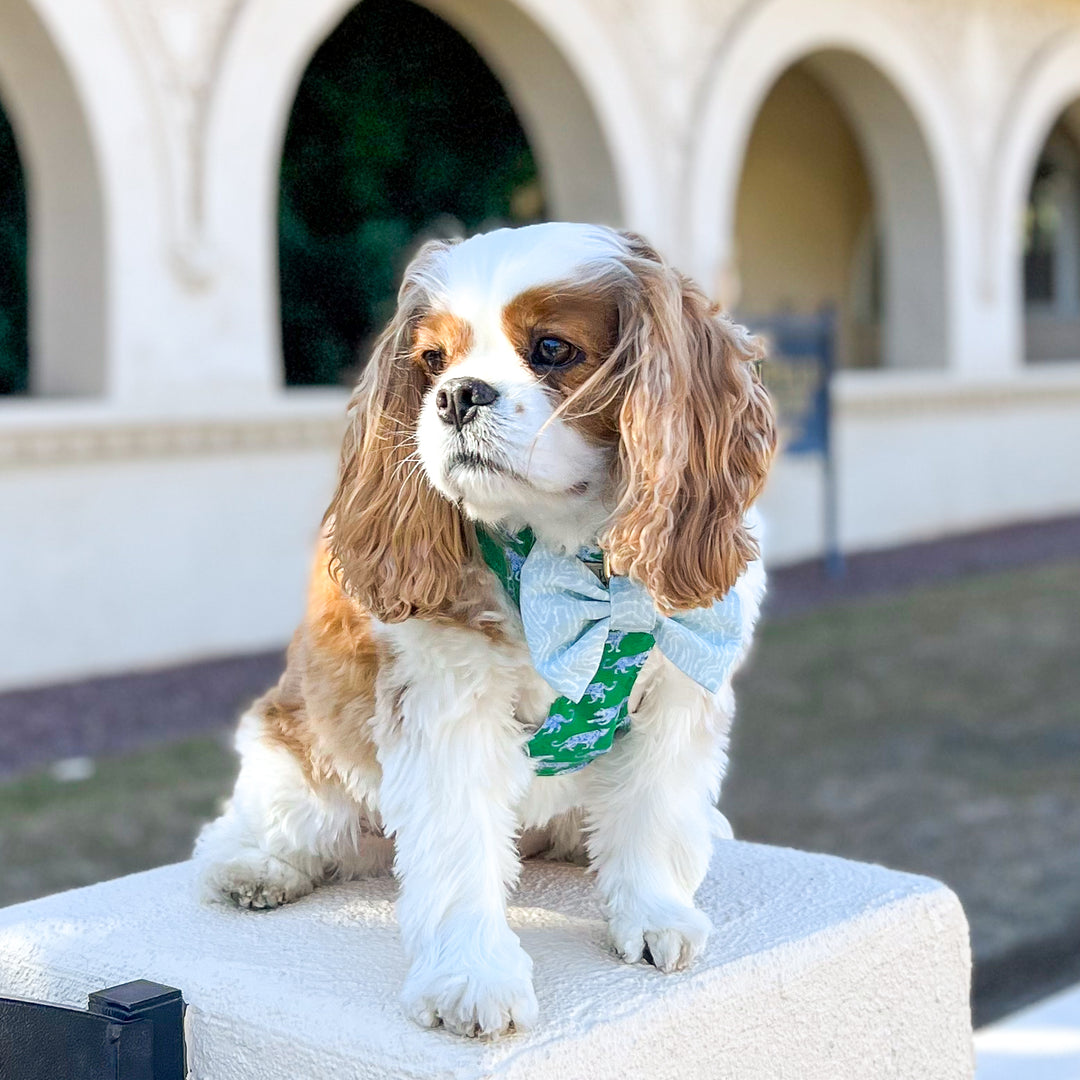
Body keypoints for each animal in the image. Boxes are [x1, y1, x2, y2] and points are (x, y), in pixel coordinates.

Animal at [194, 221, 777, 1036]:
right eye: (432, 361)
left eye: (554, 348)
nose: (457, 395)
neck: (569, 565)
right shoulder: (448, 710)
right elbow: (459, 852)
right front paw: (471, 979)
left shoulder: (677, 689)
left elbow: (654, 811)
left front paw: (656, 913)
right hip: (298, 761)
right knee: (266, 827)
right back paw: (252, 868)